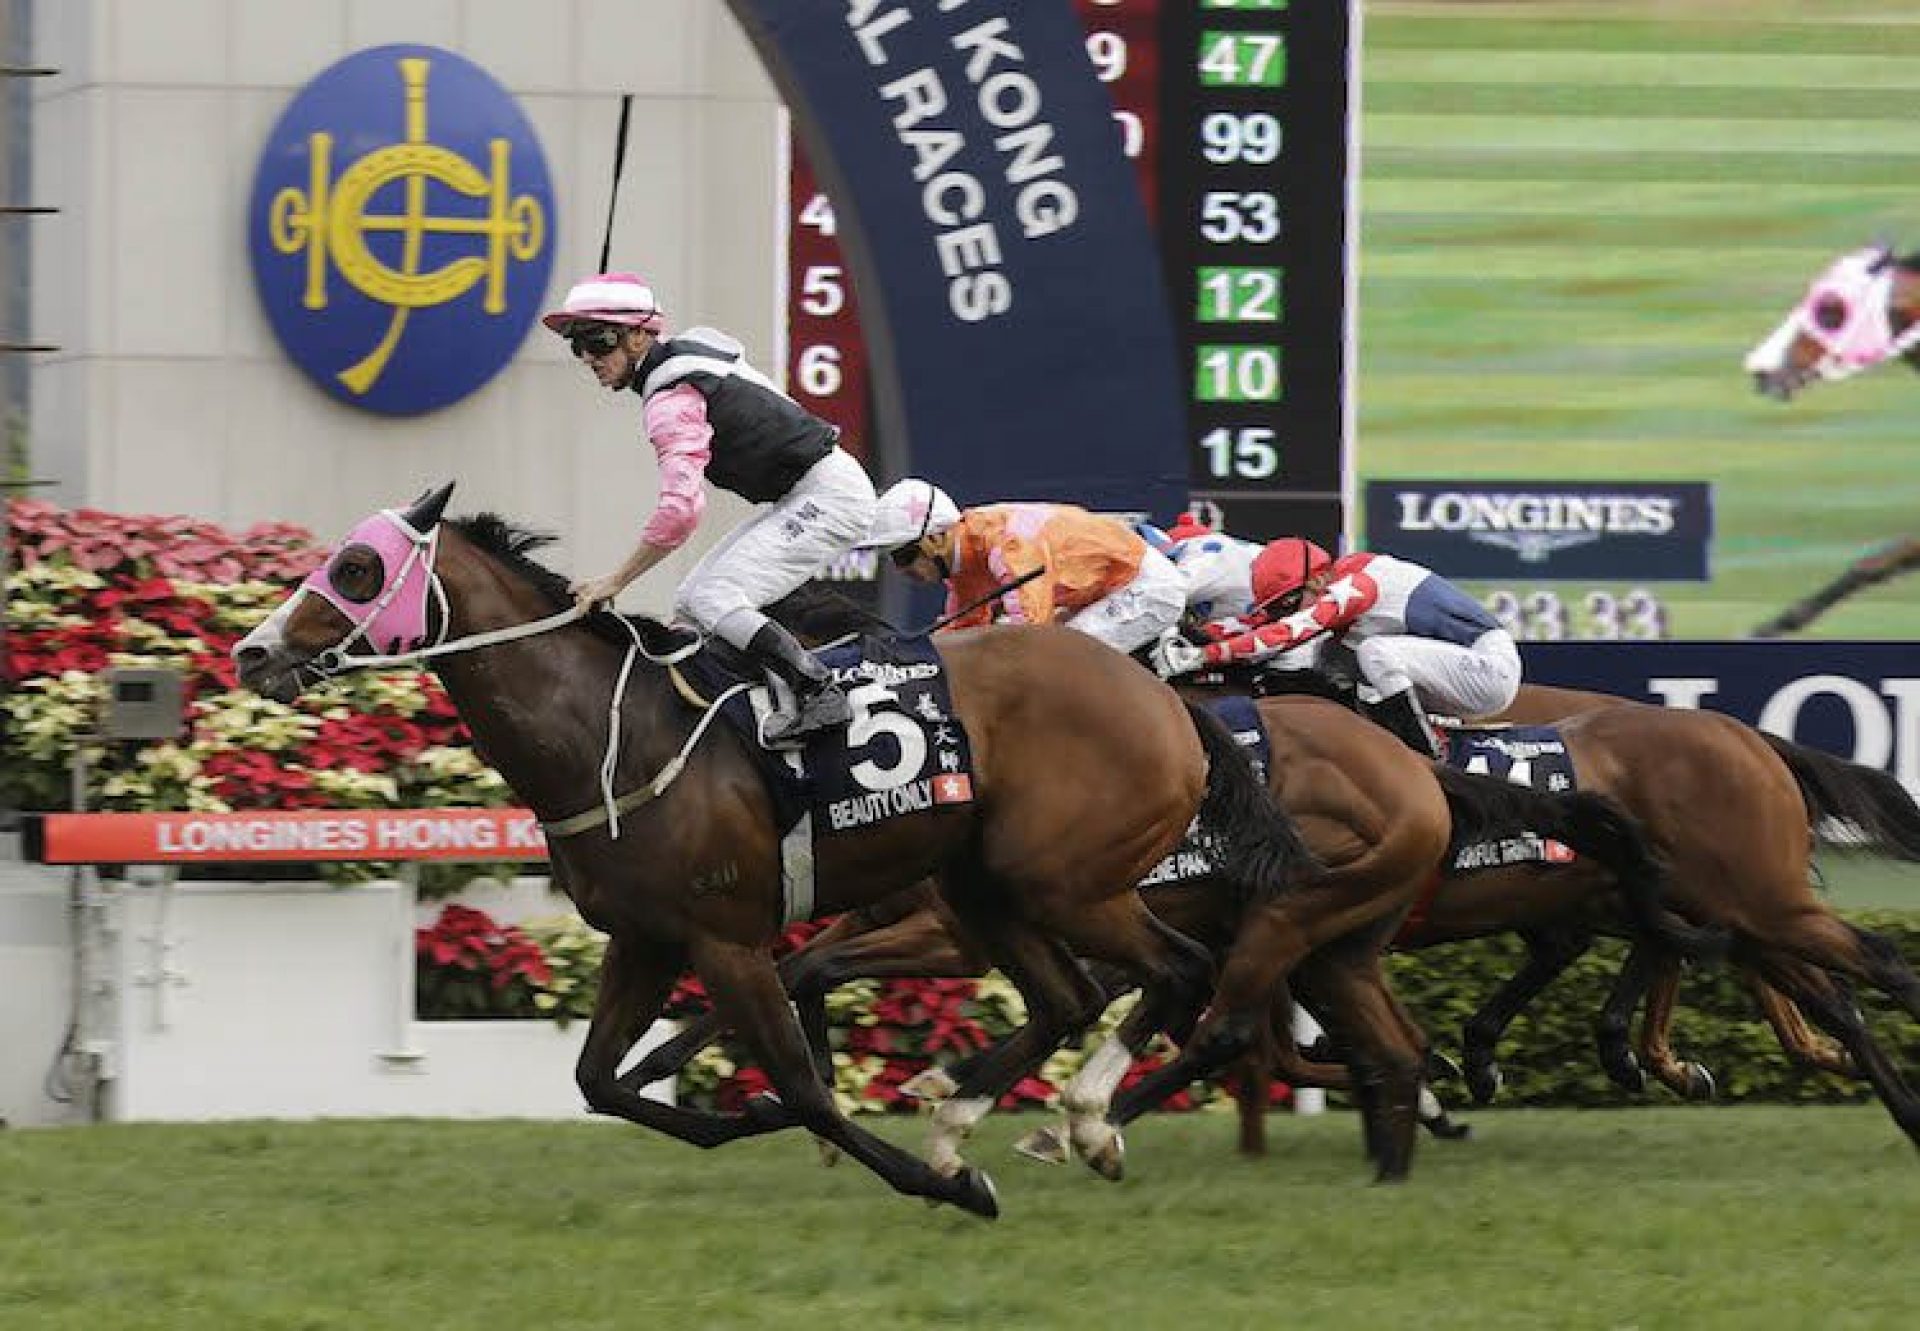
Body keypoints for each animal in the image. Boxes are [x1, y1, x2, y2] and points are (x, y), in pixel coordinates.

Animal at [232, 485, 1328, 1213]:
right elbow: (602, 1081)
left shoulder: (724, 938)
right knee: (1070, 996)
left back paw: (1081, 1121)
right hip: (987, 885)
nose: (251, 651)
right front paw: (742, 1116)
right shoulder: (646, 936)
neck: (611, 734)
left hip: (1067, 881)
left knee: (1177, 973)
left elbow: (799, 1083)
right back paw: (972, 1121)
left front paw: (937, 1182)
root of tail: (1166, 699)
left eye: (359, 569)